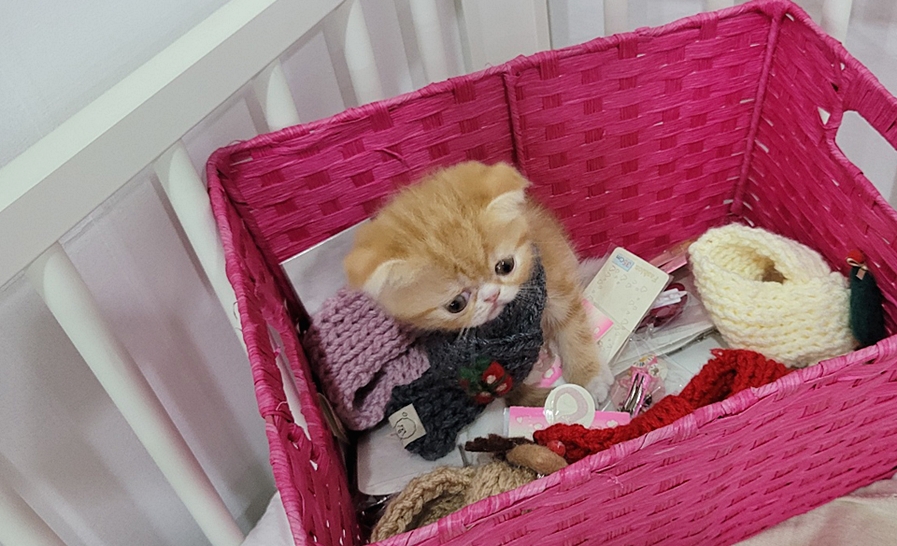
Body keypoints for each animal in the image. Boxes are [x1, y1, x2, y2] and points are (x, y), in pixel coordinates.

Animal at [343, 161, 614, 405]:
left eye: (505, 266)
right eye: (456, 304)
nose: (492, 295)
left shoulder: (553, 271)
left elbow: (572, 326)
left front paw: (589, 377)